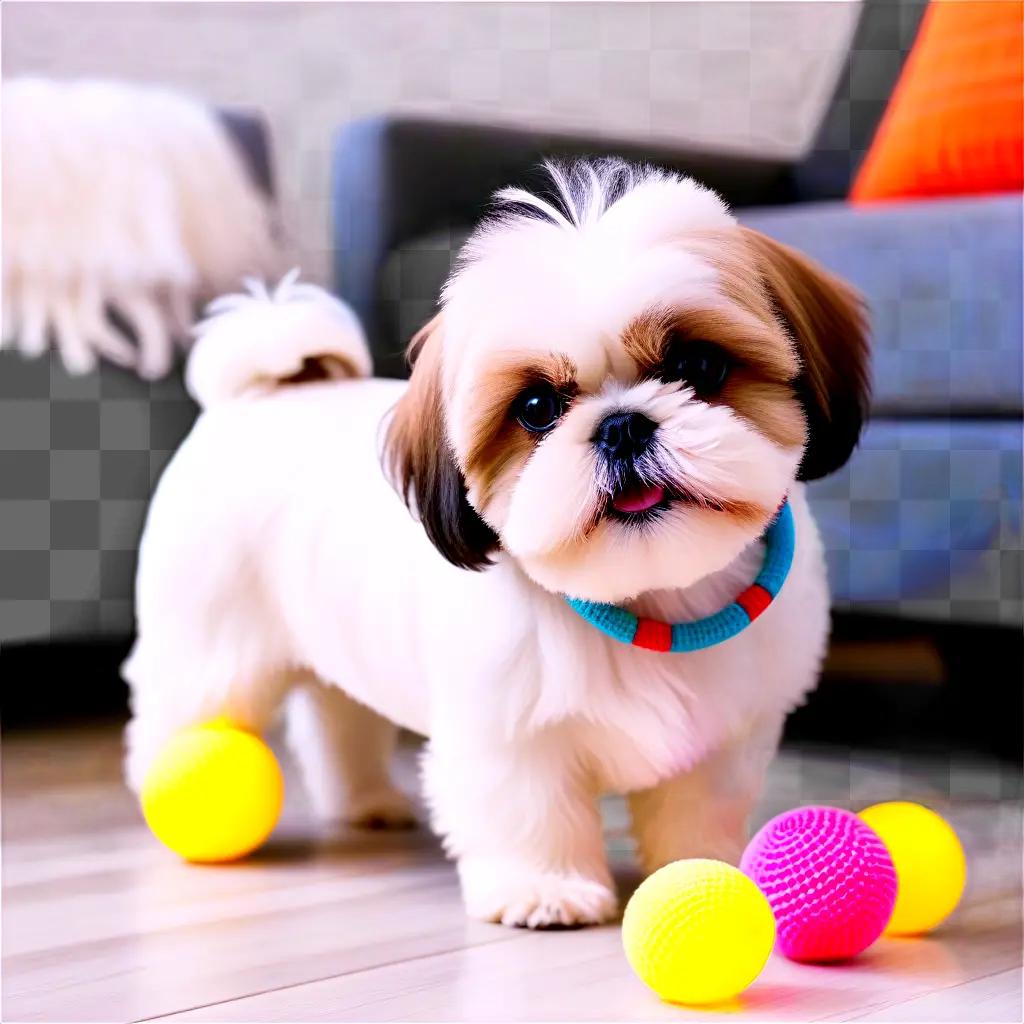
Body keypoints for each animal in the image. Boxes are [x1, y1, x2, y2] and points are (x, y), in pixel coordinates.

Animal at [123, 159, 868, 929]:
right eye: (536, 407)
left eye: (699, 366)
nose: (622, 425)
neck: (649, 595)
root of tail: (262, 394)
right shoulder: (508, 732)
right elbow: (529, 807)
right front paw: (546, 889)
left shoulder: (725, 734)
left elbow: (698, 808)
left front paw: (703, 873)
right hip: (215, 648)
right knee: (186, 707)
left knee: (338, 718)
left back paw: (366, 802)